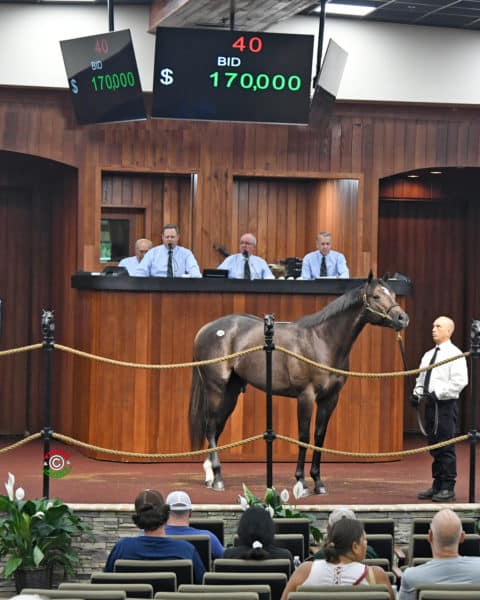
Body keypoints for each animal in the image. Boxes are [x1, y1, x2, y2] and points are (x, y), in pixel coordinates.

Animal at [188, 274, 408, 494]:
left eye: (393, 294)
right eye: (376, 296)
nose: (402, 318)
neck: (321, 342)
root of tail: (205, 329)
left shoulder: (330, 399)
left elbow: (319, 437)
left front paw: (318, 481)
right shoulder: (306, 397)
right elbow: (303, 437)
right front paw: (301, 481)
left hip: (231, 393)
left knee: (216, 426)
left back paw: (210, 476)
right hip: (216, 389)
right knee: (210, 427)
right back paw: (217, 478)